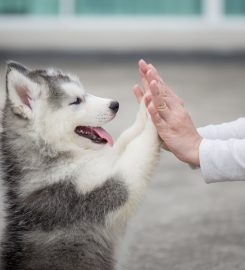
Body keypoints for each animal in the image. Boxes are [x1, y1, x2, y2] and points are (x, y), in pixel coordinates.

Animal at [0, 61, 160, 270]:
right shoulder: (103, 191)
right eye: (76, 101)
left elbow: (125, 140)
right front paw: (154, 113)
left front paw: (145, 105)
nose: (115, 104)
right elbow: (137, 150)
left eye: (84, 93)